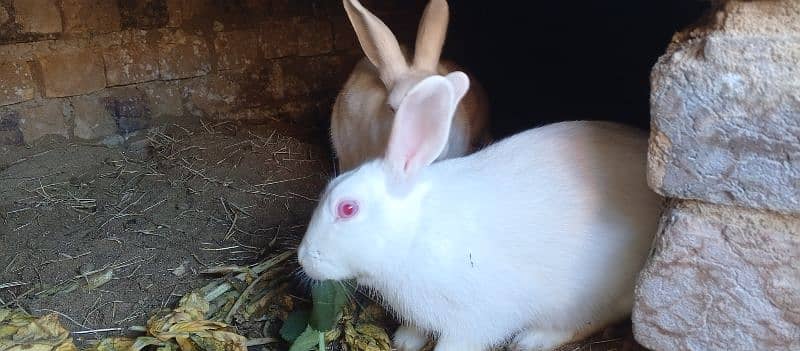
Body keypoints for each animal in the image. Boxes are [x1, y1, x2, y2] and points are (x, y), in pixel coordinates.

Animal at [296, 73, 660, 350]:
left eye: (347, 208)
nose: (303, 259)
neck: (413, 231)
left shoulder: (476, 319)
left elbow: (456, 343)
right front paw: (404, 341)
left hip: (593, 294)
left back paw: (533, 340)